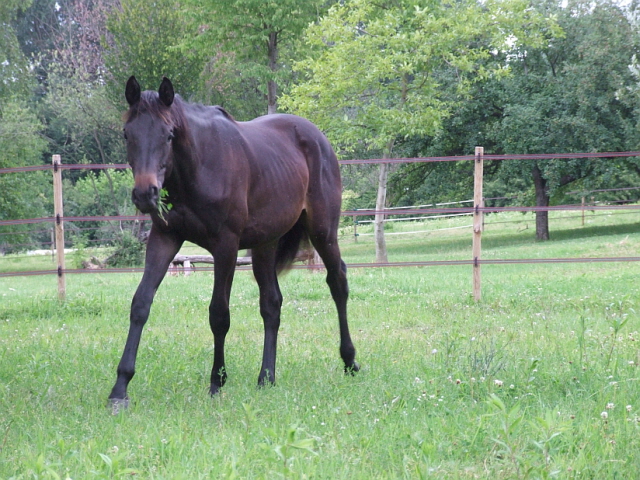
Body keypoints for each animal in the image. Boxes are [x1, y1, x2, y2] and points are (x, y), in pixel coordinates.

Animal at [110, 78, 360, 408]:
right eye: (128, 134)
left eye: (168, 134)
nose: (145, 194)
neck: (198, 167)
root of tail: (319, 138)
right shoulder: (164, 238)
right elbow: (140, 303)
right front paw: (120, 387)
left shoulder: (225, 246)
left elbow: (219, 314)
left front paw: (217, 382)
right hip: (266, 244)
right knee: (271, 304)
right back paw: (266, 377)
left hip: (323, 232)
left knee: (337, 282)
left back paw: (349, 361)